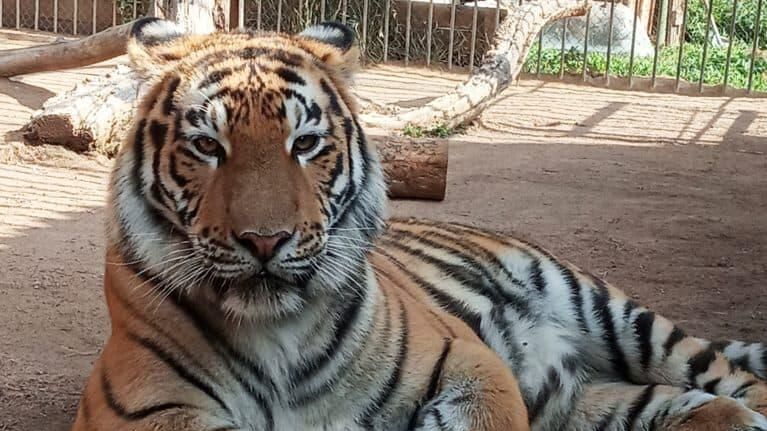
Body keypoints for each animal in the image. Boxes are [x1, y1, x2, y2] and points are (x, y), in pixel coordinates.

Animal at [71, 17, 767, 431]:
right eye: (207, 146)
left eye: (305, 143)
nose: (265, 241)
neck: (277, 334)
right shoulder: (139, 406)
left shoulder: (473, 362)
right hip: (586, 396)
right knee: (660, 402)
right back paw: (716, 418)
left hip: (615, 314)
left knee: (739, 379)